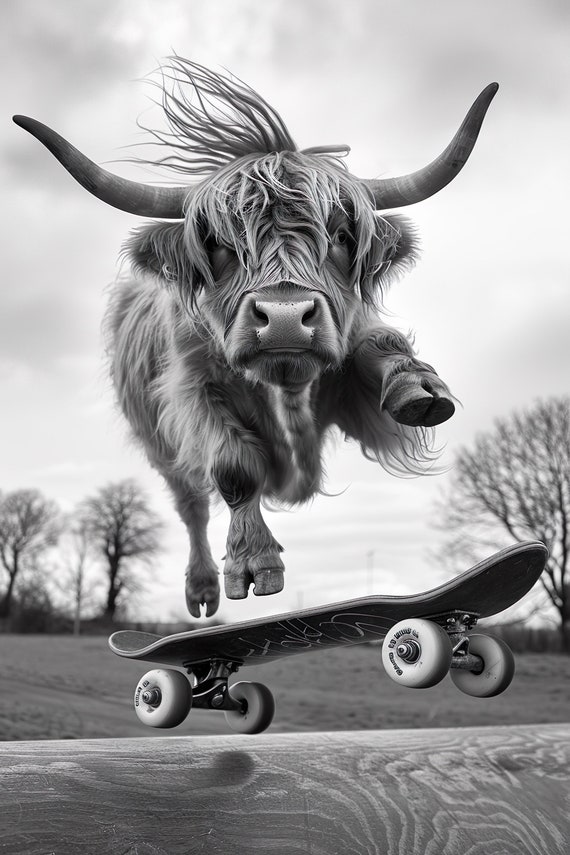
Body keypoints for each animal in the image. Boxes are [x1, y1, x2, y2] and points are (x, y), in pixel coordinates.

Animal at [14, 58, 498, 617]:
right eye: (219, 245)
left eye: (340, 237)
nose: (285, 318)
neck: (285, 387)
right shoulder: (191, 391)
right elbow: (234, 467)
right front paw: (253, 563)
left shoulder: (348, 348)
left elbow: (379, 344)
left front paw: (416, 389)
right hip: (160, 447)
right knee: (191, 506)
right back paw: (201, 589)